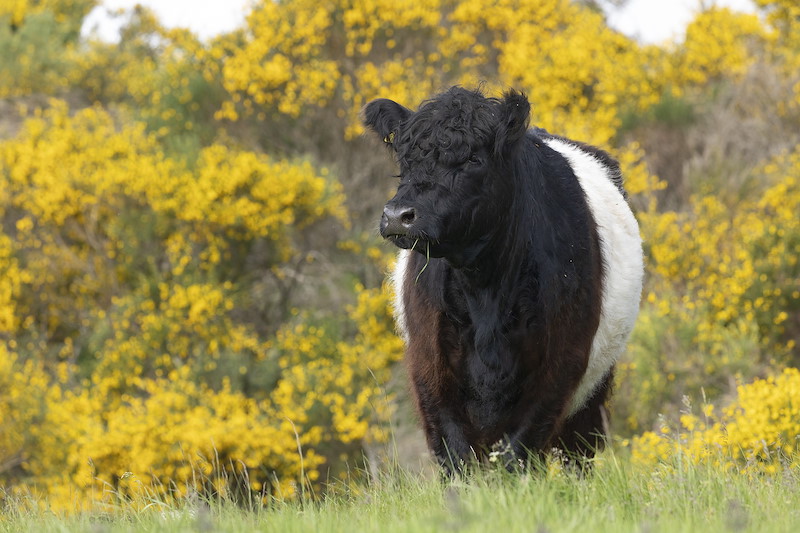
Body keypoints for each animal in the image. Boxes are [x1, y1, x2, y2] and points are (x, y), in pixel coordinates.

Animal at [362, 86, 643, 473]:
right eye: (405, 161)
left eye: (473, 160)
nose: (396, 216)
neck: (485, 293)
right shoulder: (429, 367)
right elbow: (456, 453)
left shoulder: (560, 365)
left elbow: (517, 452)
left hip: (593, 392)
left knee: (576, 452)